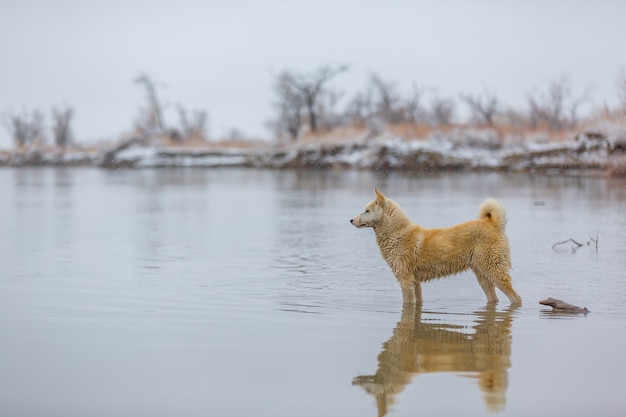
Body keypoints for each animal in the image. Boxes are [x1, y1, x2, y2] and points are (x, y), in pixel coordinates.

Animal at [348, 188, 520, 302]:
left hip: (494, 271)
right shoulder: (415, 282)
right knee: (494, 299)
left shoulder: (405, 279)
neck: (397, 233)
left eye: (367, 210)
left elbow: (407, 303)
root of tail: (493, 223)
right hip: (483, 276)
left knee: (516, 298)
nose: (351, 220)